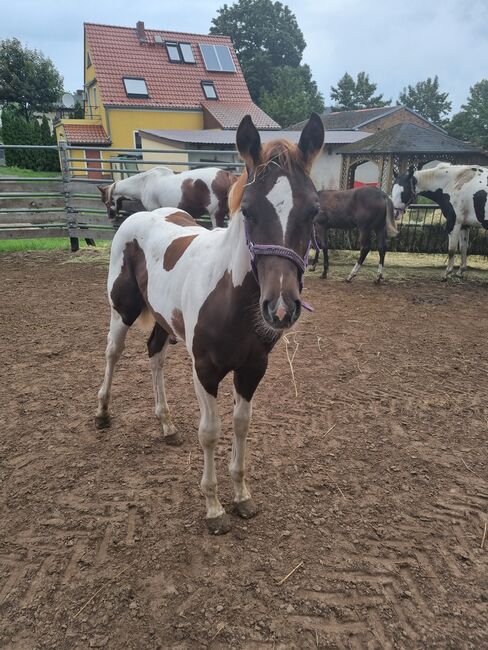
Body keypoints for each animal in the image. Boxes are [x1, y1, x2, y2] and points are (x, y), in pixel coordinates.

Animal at [97, 165, 234, 228]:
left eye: (106, 202)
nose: (110, 217)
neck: (144, 182)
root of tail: (226, 175)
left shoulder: (153, 209)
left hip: (216, 215)